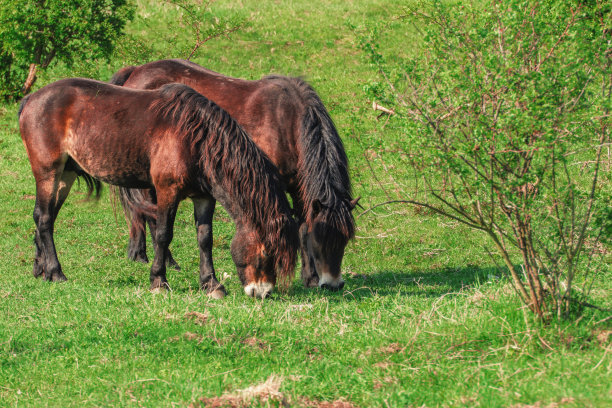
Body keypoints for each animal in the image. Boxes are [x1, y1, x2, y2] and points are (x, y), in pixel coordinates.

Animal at [18, 78, 296, 298]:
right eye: (266, 252)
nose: (263, 292)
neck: (195, 138)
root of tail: (32, 98)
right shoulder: (166, 191)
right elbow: (163, 234)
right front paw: (159, 281)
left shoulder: (204, 197)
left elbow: (205, 238)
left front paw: (211, 284)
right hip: (48, 173)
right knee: (44, 219)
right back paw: (55, 272)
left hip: (66, 175)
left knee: (46, 217)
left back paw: (41, 268)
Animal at [112, 59, 356, 292]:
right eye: (320, 241)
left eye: (345, 241)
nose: (333, 284)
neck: (286, 122)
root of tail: (136, 71)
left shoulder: (299, 189)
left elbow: (303, 227)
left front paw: (310, 278)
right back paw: (159, 259)